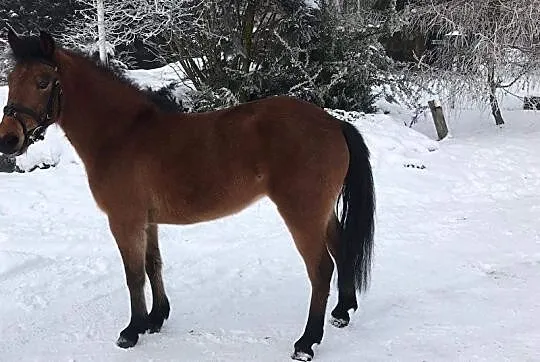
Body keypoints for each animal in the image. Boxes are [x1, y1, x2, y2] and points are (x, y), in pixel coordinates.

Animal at [0, 31, 376, 362]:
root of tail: (333, 123)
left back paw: (306, 342)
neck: (122, 134)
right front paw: (155, 318)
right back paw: (342, 312)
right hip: (321, 213)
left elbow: (133, 275)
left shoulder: (124, 221)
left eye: (43, 81)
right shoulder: (148, 221)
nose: (8, 140)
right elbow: (153, 265)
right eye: (11, 78)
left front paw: (132, 331)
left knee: (321, 268)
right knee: (341, 248)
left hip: (302, 215)